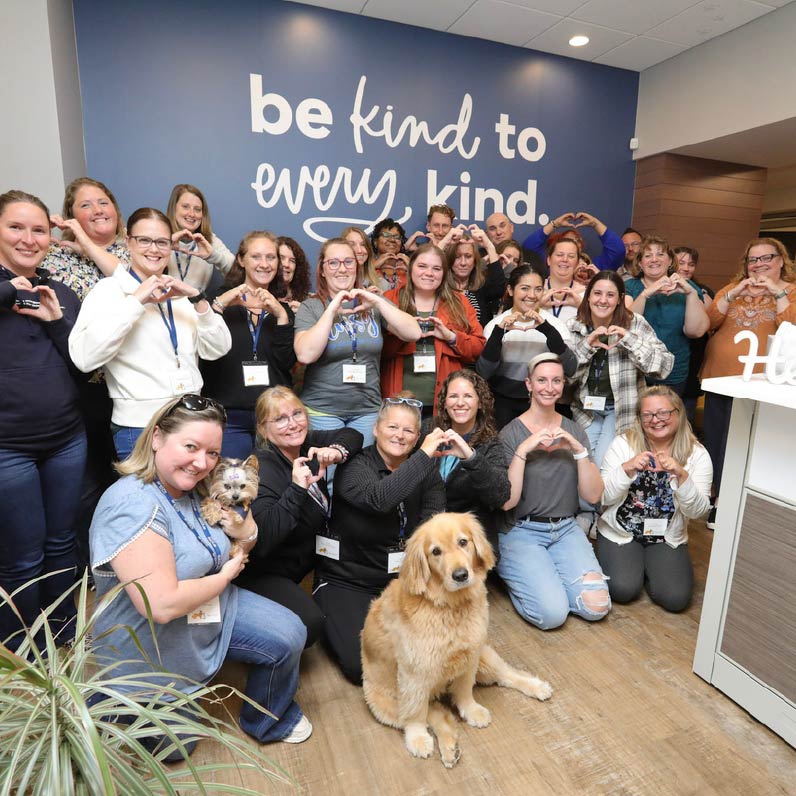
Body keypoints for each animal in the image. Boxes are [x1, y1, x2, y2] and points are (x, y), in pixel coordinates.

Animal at [362, 512, 552, 768]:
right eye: (435, 551)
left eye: (463, 542)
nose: (461, 575)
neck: (449, 606)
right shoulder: (414, 674)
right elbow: (415, 713)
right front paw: (417, 738)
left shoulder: (470, 655)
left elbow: (464, 690)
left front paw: (471, 711)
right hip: (384, 704)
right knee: (435, 715)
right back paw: (449, 748)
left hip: (484, 657)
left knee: (506, 674)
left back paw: (537, 687)